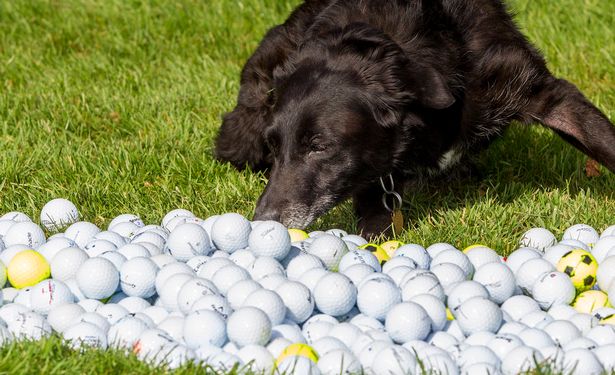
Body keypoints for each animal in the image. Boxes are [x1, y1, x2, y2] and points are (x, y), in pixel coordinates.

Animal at [215, 0, 615, 238]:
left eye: (319, 147)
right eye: (274, 146)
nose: (262, 221)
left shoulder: (542, 91)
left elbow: (602, 138)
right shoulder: (376, 180)